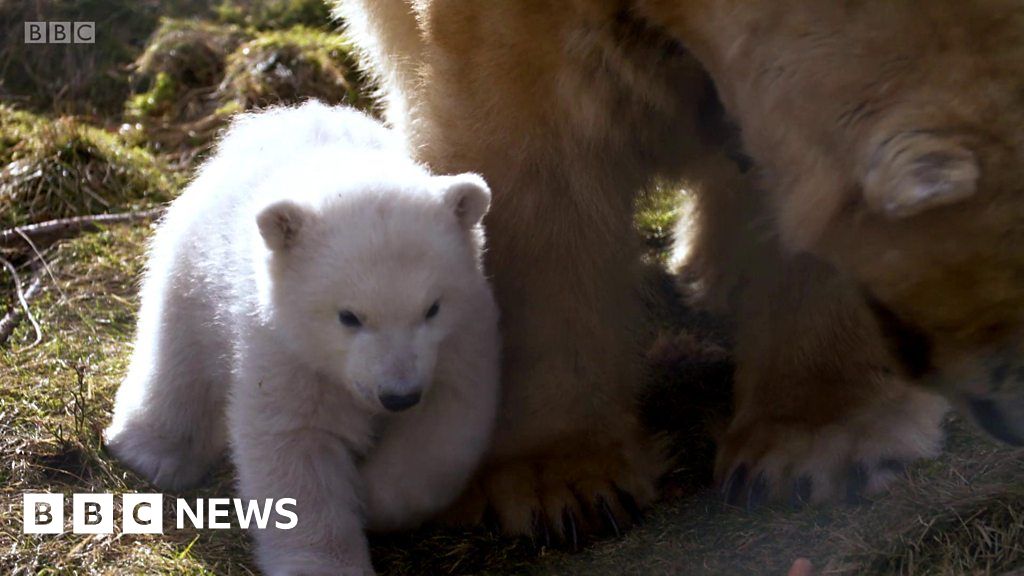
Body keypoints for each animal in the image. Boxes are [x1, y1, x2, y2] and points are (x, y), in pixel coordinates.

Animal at [104, 100, 499, 569]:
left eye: (432, 308)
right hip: (195, 265)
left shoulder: (462, 337)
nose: (398, 395)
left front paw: (372, 498)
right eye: (349, 316)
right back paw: (153, 450)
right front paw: (327, 561)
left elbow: (442, 428)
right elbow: (297, 445)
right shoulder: (284, 347)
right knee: (177, 353)